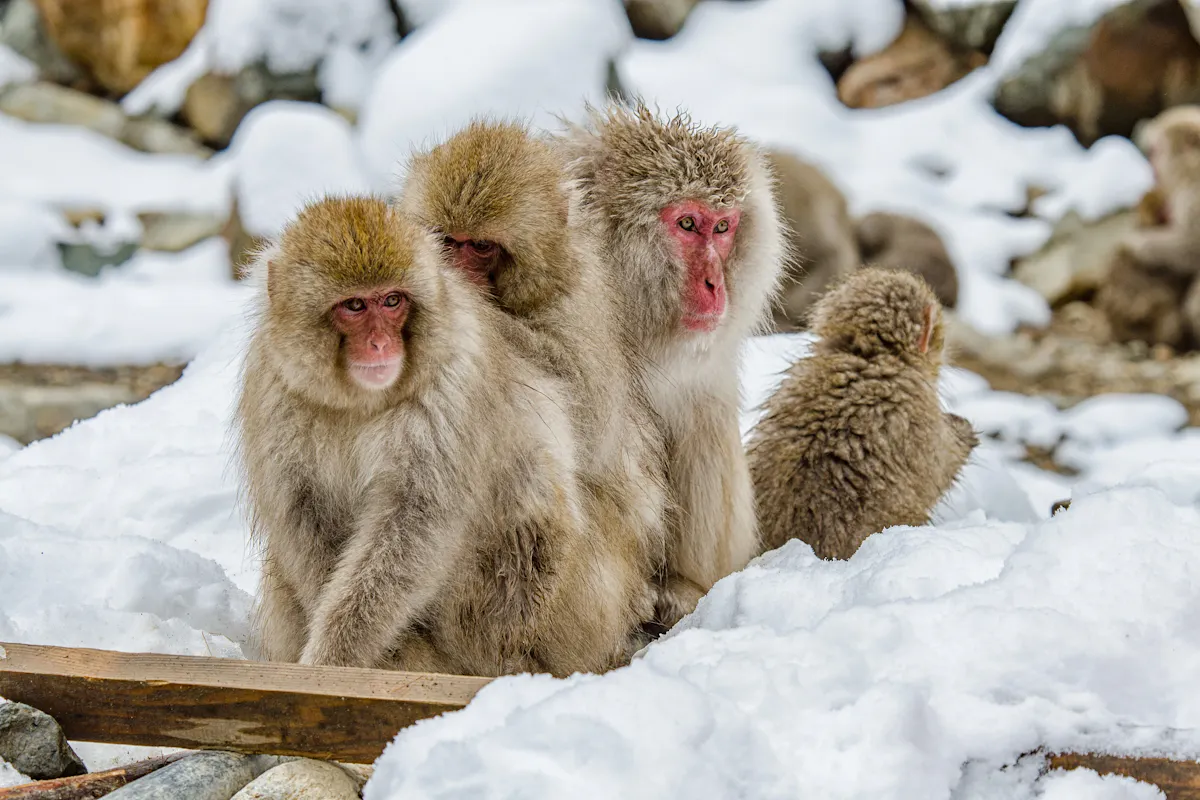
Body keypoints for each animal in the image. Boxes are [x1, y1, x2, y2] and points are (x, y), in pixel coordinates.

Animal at [236, 196, 642, 676]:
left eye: (392, 300)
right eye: (354, 306)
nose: (381, 344)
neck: (360, 402)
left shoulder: (451, 387)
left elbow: (416, 524)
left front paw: (336, 657)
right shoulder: (275, 387)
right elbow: (304, 517)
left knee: (530, 497)